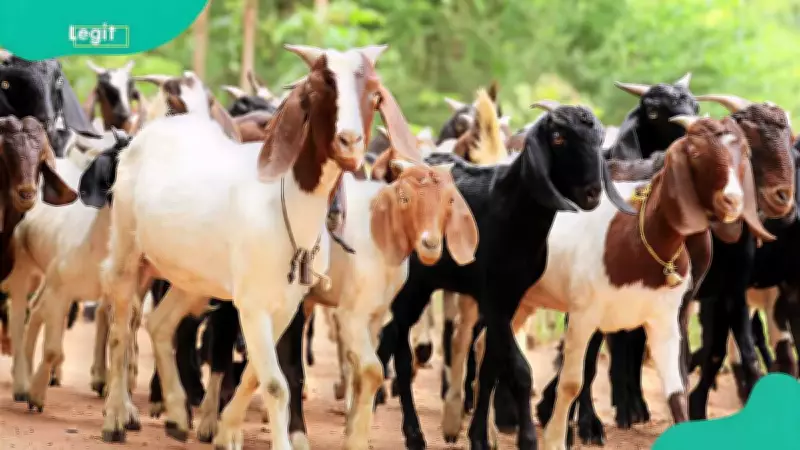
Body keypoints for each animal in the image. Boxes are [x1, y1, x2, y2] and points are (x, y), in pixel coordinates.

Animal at [95, 45, 415, 449]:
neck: (286, 205)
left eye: (374, 95)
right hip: (127, 249)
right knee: (122, 327)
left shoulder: (287, 306)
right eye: (316, 90)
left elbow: (254, 373)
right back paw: (115, 418)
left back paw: (178, 414)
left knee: (160, 325)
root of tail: (149, 133)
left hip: (191, 277)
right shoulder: (251, 304)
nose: (350, 142)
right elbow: (276, 384)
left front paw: (224, 430)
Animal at [375, 99, 637, 450]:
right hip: (412, 286)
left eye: (598, 138)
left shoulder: (511, 297)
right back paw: (414, 434)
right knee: (402, 353)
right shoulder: (494, 298)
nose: (592, 192)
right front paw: (527, 438)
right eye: (558, 137)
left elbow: (491, 365)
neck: (511, 208)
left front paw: (480, 438)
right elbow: (519, 370)